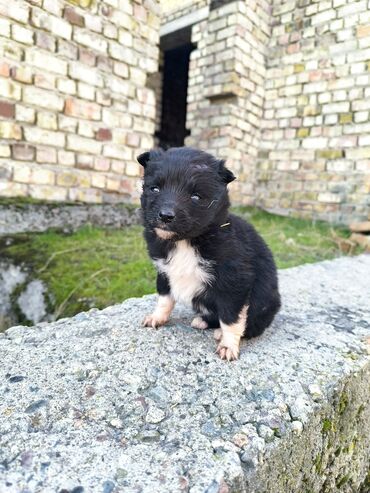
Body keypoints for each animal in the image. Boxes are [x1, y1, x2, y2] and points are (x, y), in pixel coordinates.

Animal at [138, 148, 280, 360]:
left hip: (264, 304)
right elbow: (164, 298)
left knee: (251, 325)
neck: (185, 241)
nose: (165, 216)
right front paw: (157, 318)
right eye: (154, 189)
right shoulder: (164, 271)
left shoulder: (235, 282)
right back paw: (203, 321)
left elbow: (231, 317)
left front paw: (228, 346)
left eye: (196, 197)